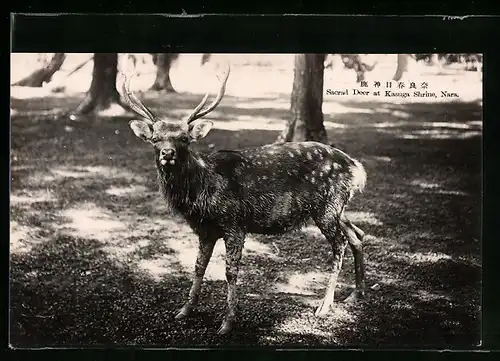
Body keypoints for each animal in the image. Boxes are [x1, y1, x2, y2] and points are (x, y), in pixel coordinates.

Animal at [124, 64, 368, 334]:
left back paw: (325, 306)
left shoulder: (234, 223)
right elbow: (198, 266)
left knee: (340, 244)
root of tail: (357, 168)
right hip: (338, 208)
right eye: (155, 139)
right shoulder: (205, 230)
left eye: (184, 139)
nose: (167, 153)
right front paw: (185, 310)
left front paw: (228, 321)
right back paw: (355, 294)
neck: (202, 194)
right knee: (357, 234)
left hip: (327, 206)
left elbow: (230, 271)